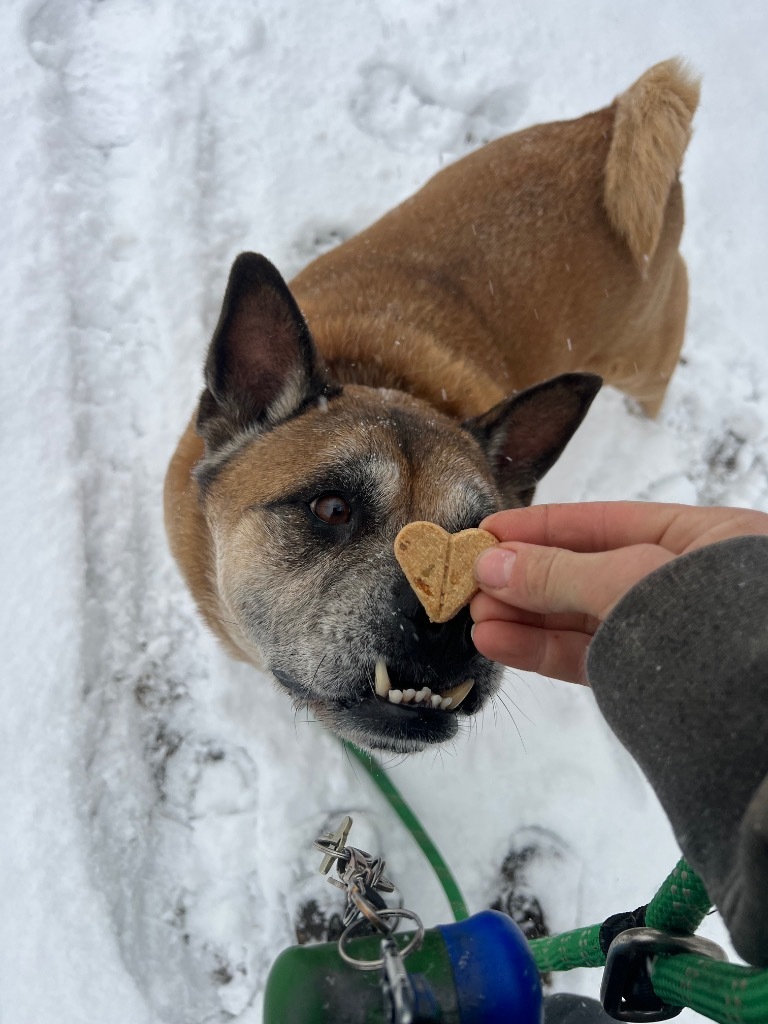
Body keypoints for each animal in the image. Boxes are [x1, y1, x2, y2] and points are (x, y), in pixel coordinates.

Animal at [167, 61, 704, 753]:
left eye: (482, 539)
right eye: (331, 507)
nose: (452, 617)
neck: (384, 375)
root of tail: (608, 120)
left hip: (646, 364)